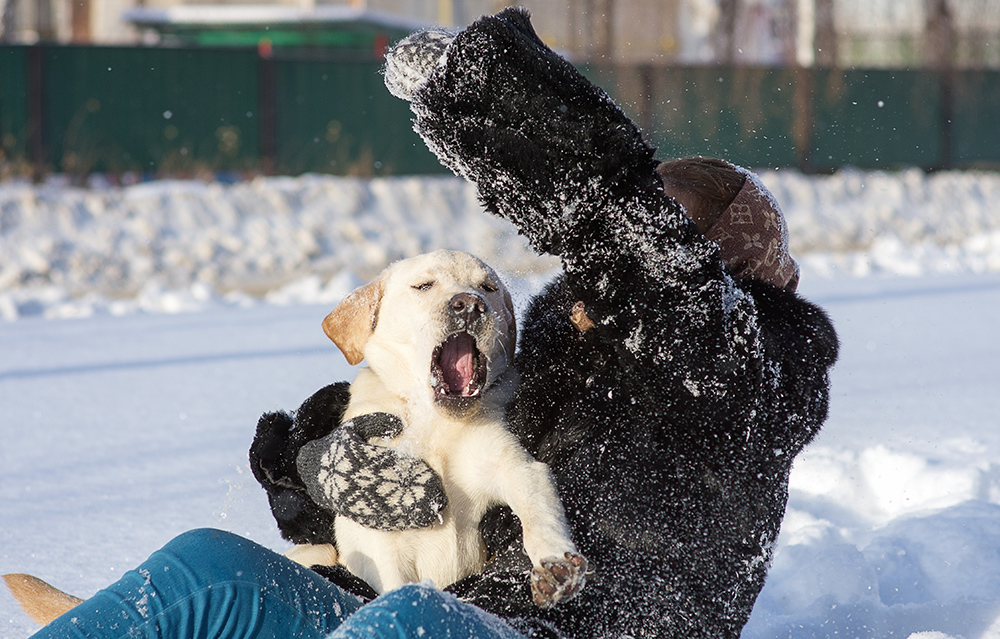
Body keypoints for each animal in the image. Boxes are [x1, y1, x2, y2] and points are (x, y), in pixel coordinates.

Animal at [290, 249, 584, 604]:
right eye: (423, 285)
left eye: (487, 287)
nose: (469, 304)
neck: (436, 422)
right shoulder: (381, 537)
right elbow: (393, 578)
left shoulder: (514, 467)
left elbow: (538, 512)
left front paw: (555, 564)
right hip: (313, 552)